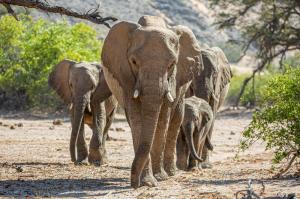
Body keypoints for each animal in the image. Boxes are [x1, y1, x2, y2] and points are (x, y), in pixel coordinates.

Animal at [102, 15, 203, 188]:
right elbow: (137, 119)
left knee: (175, 120)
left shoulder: (173, 80)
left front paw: (159, 178)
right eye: (134, 62)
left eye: (172, 64)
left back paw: (170, 173)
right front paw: (148, 182)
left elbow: (162, 119)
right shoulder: (126, 76)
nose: (133, 184)